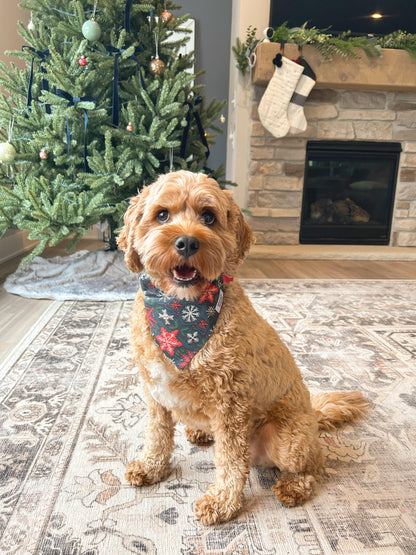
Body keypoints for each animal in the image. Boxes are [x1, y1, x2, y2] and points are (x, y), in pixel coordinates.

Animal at [117, 169, 370, 524]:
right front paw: (151, 467)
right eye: (162, 215)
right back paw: (199, 432)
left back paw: (294, 486)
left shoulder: (230, 405)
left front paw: (222, 502)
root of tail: (313, 413)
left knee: (314, 463)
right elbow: (157, 435)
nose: (187, 242)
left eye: (209, 217)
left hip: (287, 438)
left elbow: (231, 462)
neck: (181, 311)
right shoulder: (156, 394)